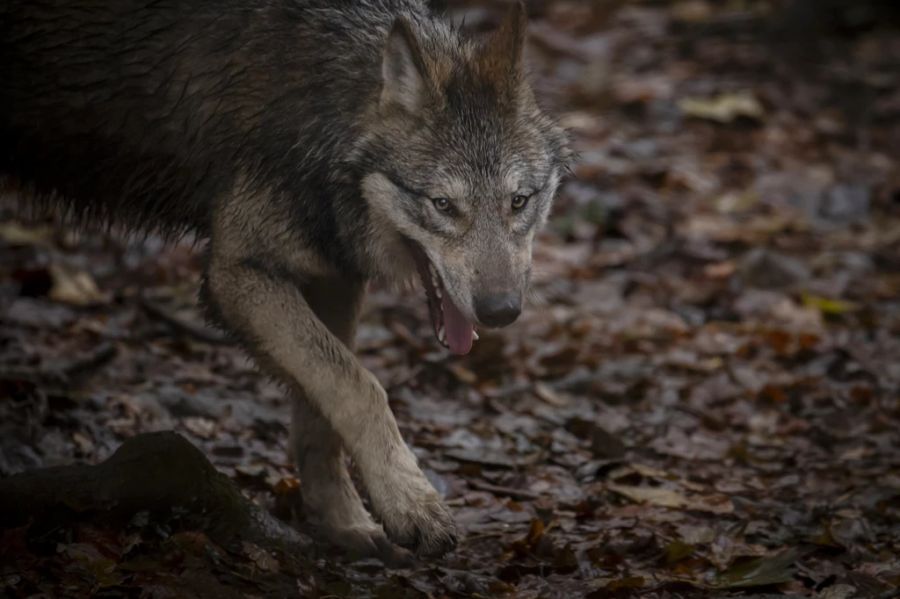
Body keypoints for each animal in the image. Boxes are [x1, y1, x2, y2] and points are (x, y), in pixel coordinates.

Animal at [1, 0, 568, 556]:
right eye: (443, 205)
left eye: (519, 201)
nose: (501, 311)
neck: (326, 114)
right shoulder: (237, 274)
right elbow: (360, 386)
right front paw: (412, 504)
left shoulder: (335, 277)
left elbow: (323, 408)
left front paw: (344, 521)